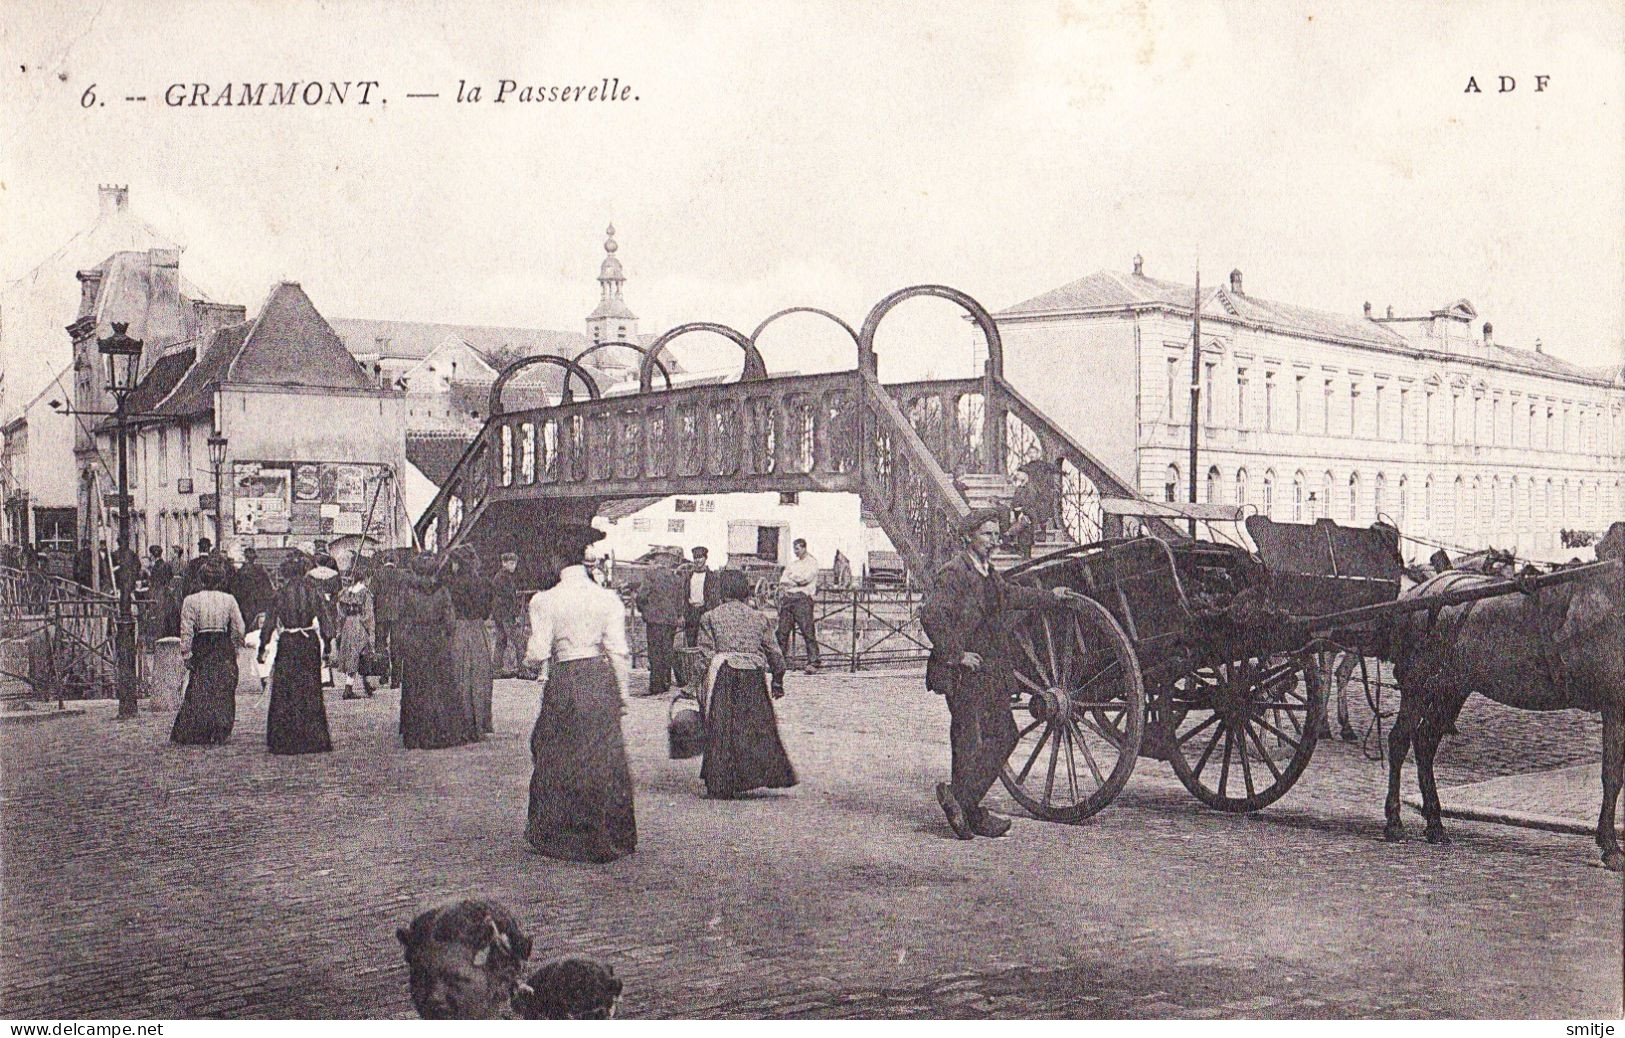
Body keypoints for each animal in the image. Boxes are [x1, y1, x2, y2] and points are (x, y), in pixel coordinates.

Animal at [1378, 519, 1618, 870]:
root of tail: (1421, 591)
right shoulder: (1615, 705)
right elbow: (1612, 775)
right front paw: (1611, 847)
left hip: (1452, 686)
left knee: (1425, 742)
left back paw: (1435, 825)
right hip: (1418, 684)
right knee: (1399, 740)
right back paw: (1394, 822)